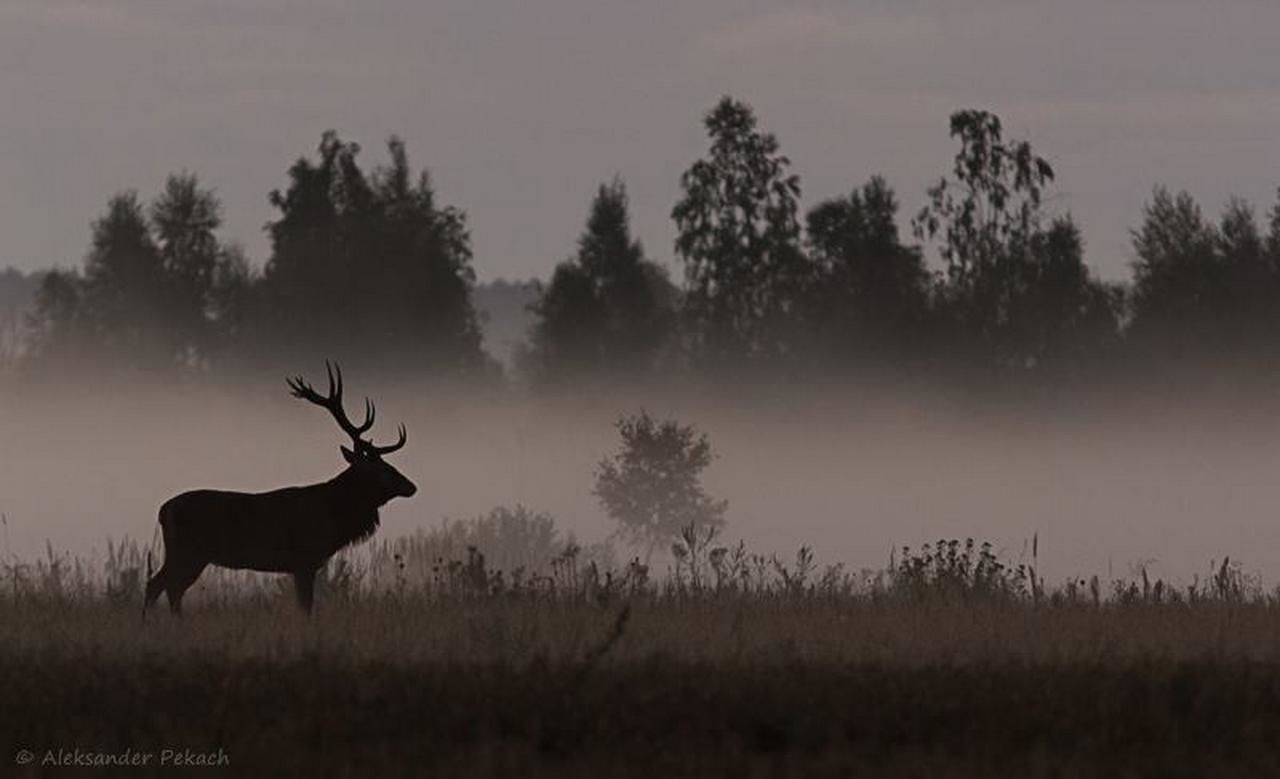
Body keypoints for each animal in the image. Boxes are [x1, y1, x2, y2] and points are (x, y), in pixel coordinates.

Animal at [144, 360, 414, 616]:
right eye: (381, 470)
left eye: (388, 464)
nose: (412, 486)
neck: (331, 516)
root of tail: (162, 510)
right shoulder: (304, 559)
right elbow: (306, 607)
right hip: (189, 550)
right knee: (162, 586)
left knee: (165, 586)